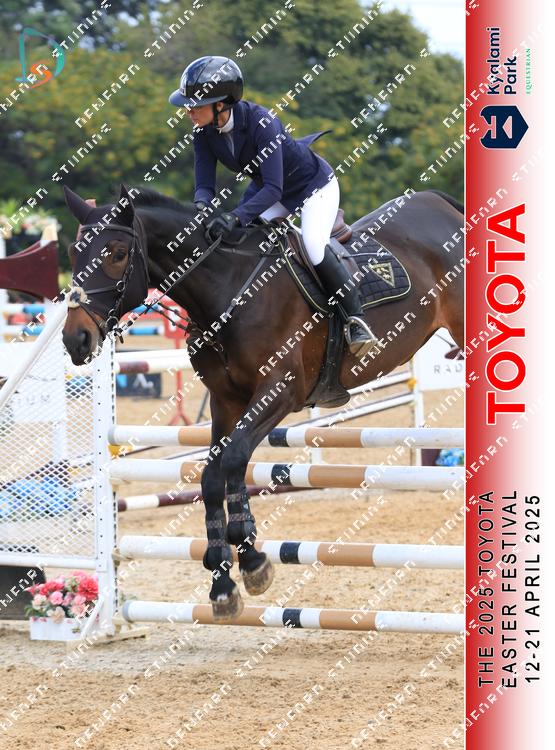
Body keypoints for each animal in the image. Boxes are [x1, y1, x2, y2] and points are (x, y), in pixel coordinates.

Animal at [62, 184, 464, 620]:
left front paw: (251, 558)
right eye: (73, 253)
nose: (75, 340)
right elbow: (212, 476)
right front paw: (222, 582)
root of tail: (438, 202)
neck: (228, 289)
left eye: (118, 253)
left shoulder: (280, 391)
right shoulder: (226, 401)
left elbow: (236, 458)